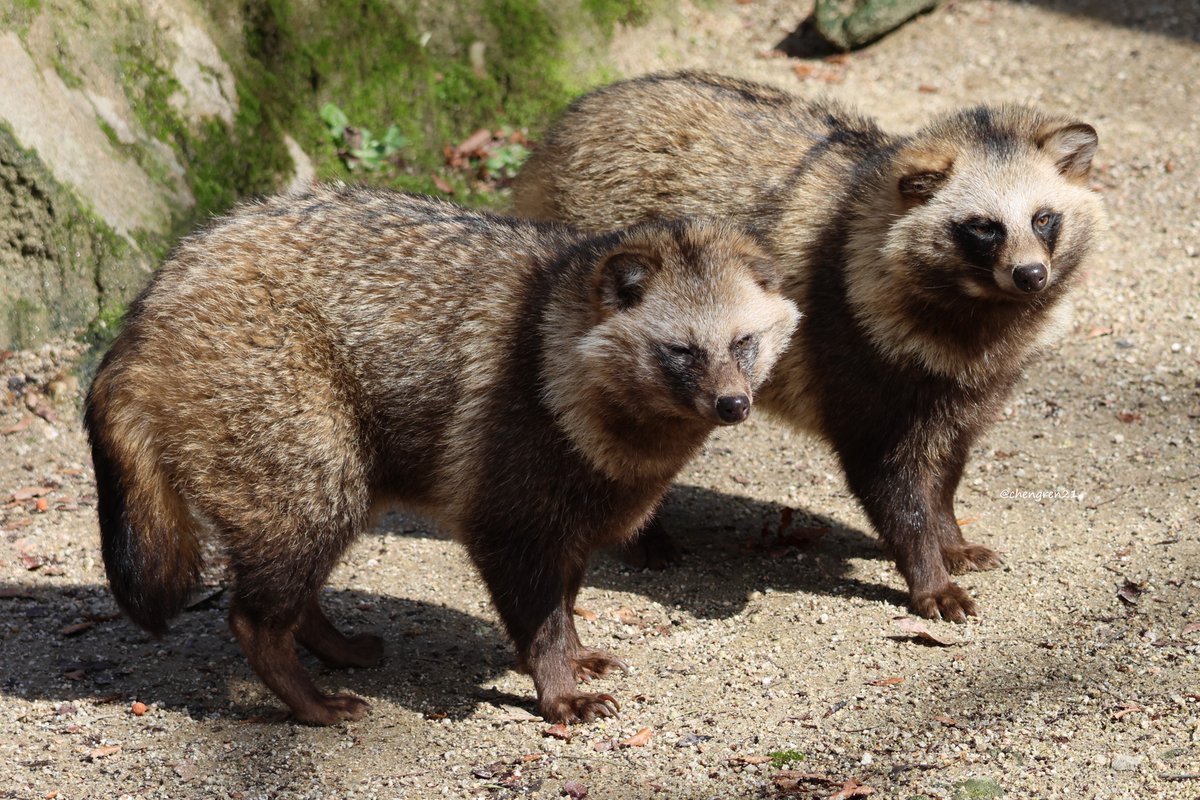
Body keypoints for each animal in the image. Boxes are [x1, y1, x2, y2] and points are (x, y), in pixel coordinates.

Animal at [82, 185, 796, 724]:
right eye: (681, 351)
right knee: (252, 619)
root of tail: (144, 310)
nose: (733, 405)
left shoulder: (572, 526)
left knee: (294, 596)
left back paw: (334, 648)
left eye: (744, 342)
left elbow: (564, 605)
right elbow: (539, 622)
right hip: (310, 478)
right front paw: (559, 691)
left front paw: (575, 657)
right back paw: (310, 702)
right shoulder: (508, 522)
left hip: (331, 492)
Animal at [511, 70, 1099, 618]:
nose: (1031, 275)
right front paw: (927, 571)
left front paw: (949, 536)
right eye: (984, 228)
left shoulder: (976, 380)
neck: (983, 310)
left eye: (1043, 218)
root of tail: (562, 128)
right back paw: (642, 533)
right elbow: (890, 483)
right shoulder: (854, 348)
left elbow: (948, 465)